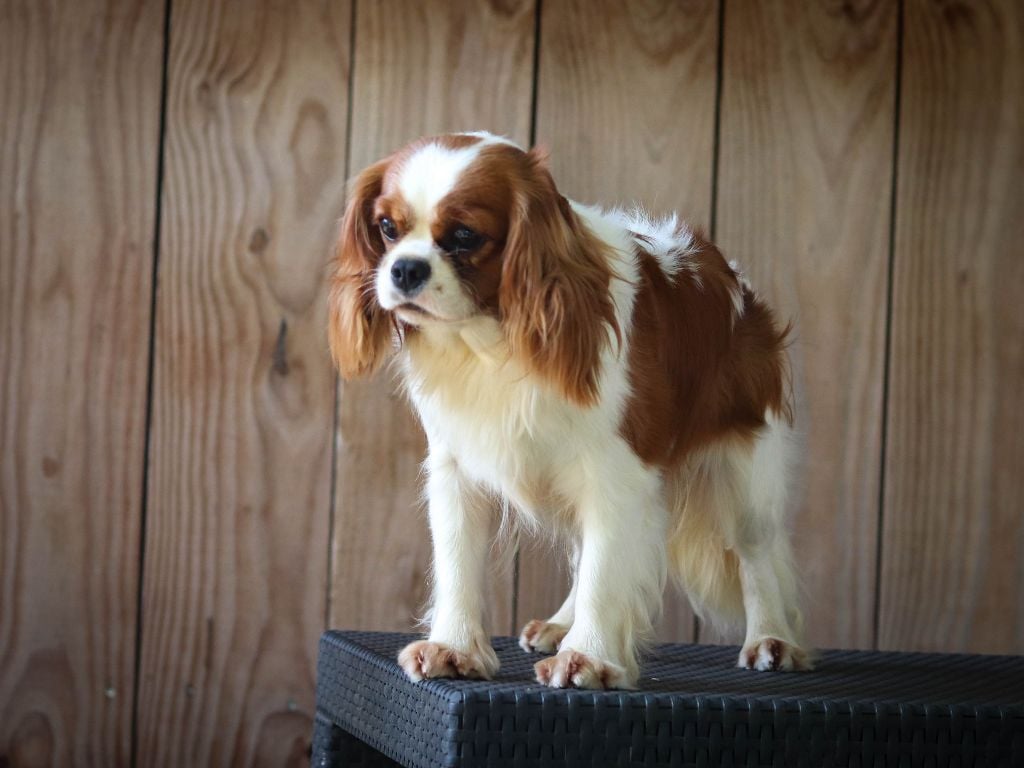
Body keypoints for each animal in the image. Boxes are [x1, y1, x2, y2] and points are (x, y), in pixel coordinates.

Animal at [331, 132, 811, 692]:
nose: (405, 268)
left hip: (745, 472)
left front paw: (589, 656)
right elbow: (458, 563)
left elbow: (606, 572)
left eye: (466, 236)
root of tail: (738, 285)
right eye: (387, 228)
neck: (492, 341)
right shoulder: (457, 469)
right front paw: (455, 648)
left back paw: (771, 638)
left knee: (755, 554)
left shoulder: (618, 472)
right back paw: (561, 623)